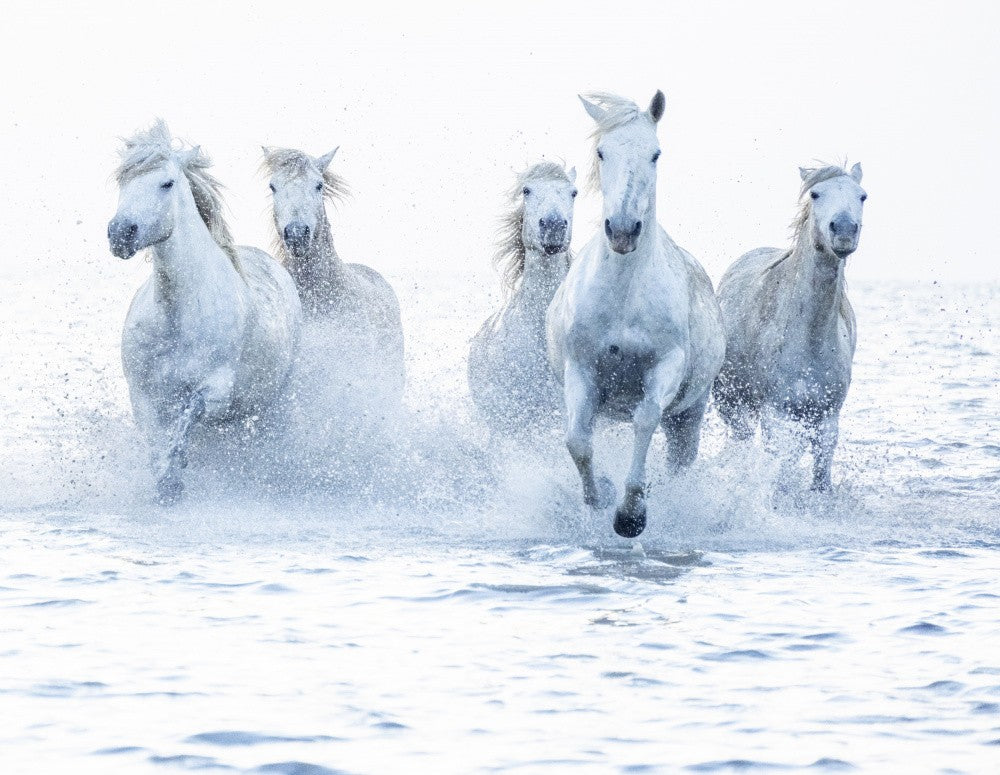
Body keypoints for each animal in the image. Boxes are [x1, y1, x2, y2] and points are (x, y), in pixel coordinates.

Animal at [107, 121, 302, 504]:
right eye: (123, 181)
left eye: (166, 183)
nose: (120, 233)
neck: (177, 316)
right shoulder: (142, 394)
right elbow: (157, 440)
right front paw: (166, 481)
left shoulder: (216, 391)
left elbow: (188, 416)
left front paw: (173, 478)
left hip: (271, 402)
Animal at [547, 92, 725, 538]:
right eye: (602, 152)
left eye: (655, 154)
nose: (624, 230)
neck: (624, 297)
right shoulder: (581, 370)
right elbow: (577, 441)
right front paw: (600, 496)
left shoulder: (665, 366)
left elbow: (645, 420)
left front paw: (631, 514)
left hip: (689, 414)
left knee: (680, 461)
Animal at [713, 163, 867, 491]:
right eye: (815, 193)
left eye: (862, 195)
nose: (844, 230)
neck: (810, 338)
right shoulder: (775, 414)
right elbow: (779, 467)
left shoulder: (826, 418)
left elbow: (819, 475)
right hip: (732, 405)